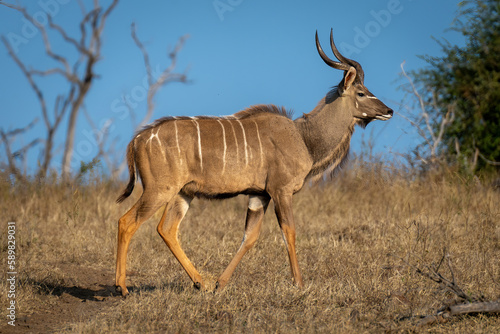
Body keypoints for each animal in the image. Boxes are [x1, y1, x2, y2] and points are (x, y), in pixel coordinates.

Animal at [115, 28, 392, 294]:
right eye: (361, 93)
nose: (388, 111)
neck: (303, 137)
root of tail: (138, 139)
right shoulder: (281, 191)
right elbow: (289, 232)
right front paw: (299, 284)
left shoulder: (260, 195)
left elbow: (249, 236)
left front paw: (220, 284)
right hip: (159, 190)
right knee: (127, 222)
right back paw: (122, 287)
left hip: (183, 193)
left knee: (167, 229)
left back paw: (200, 282)